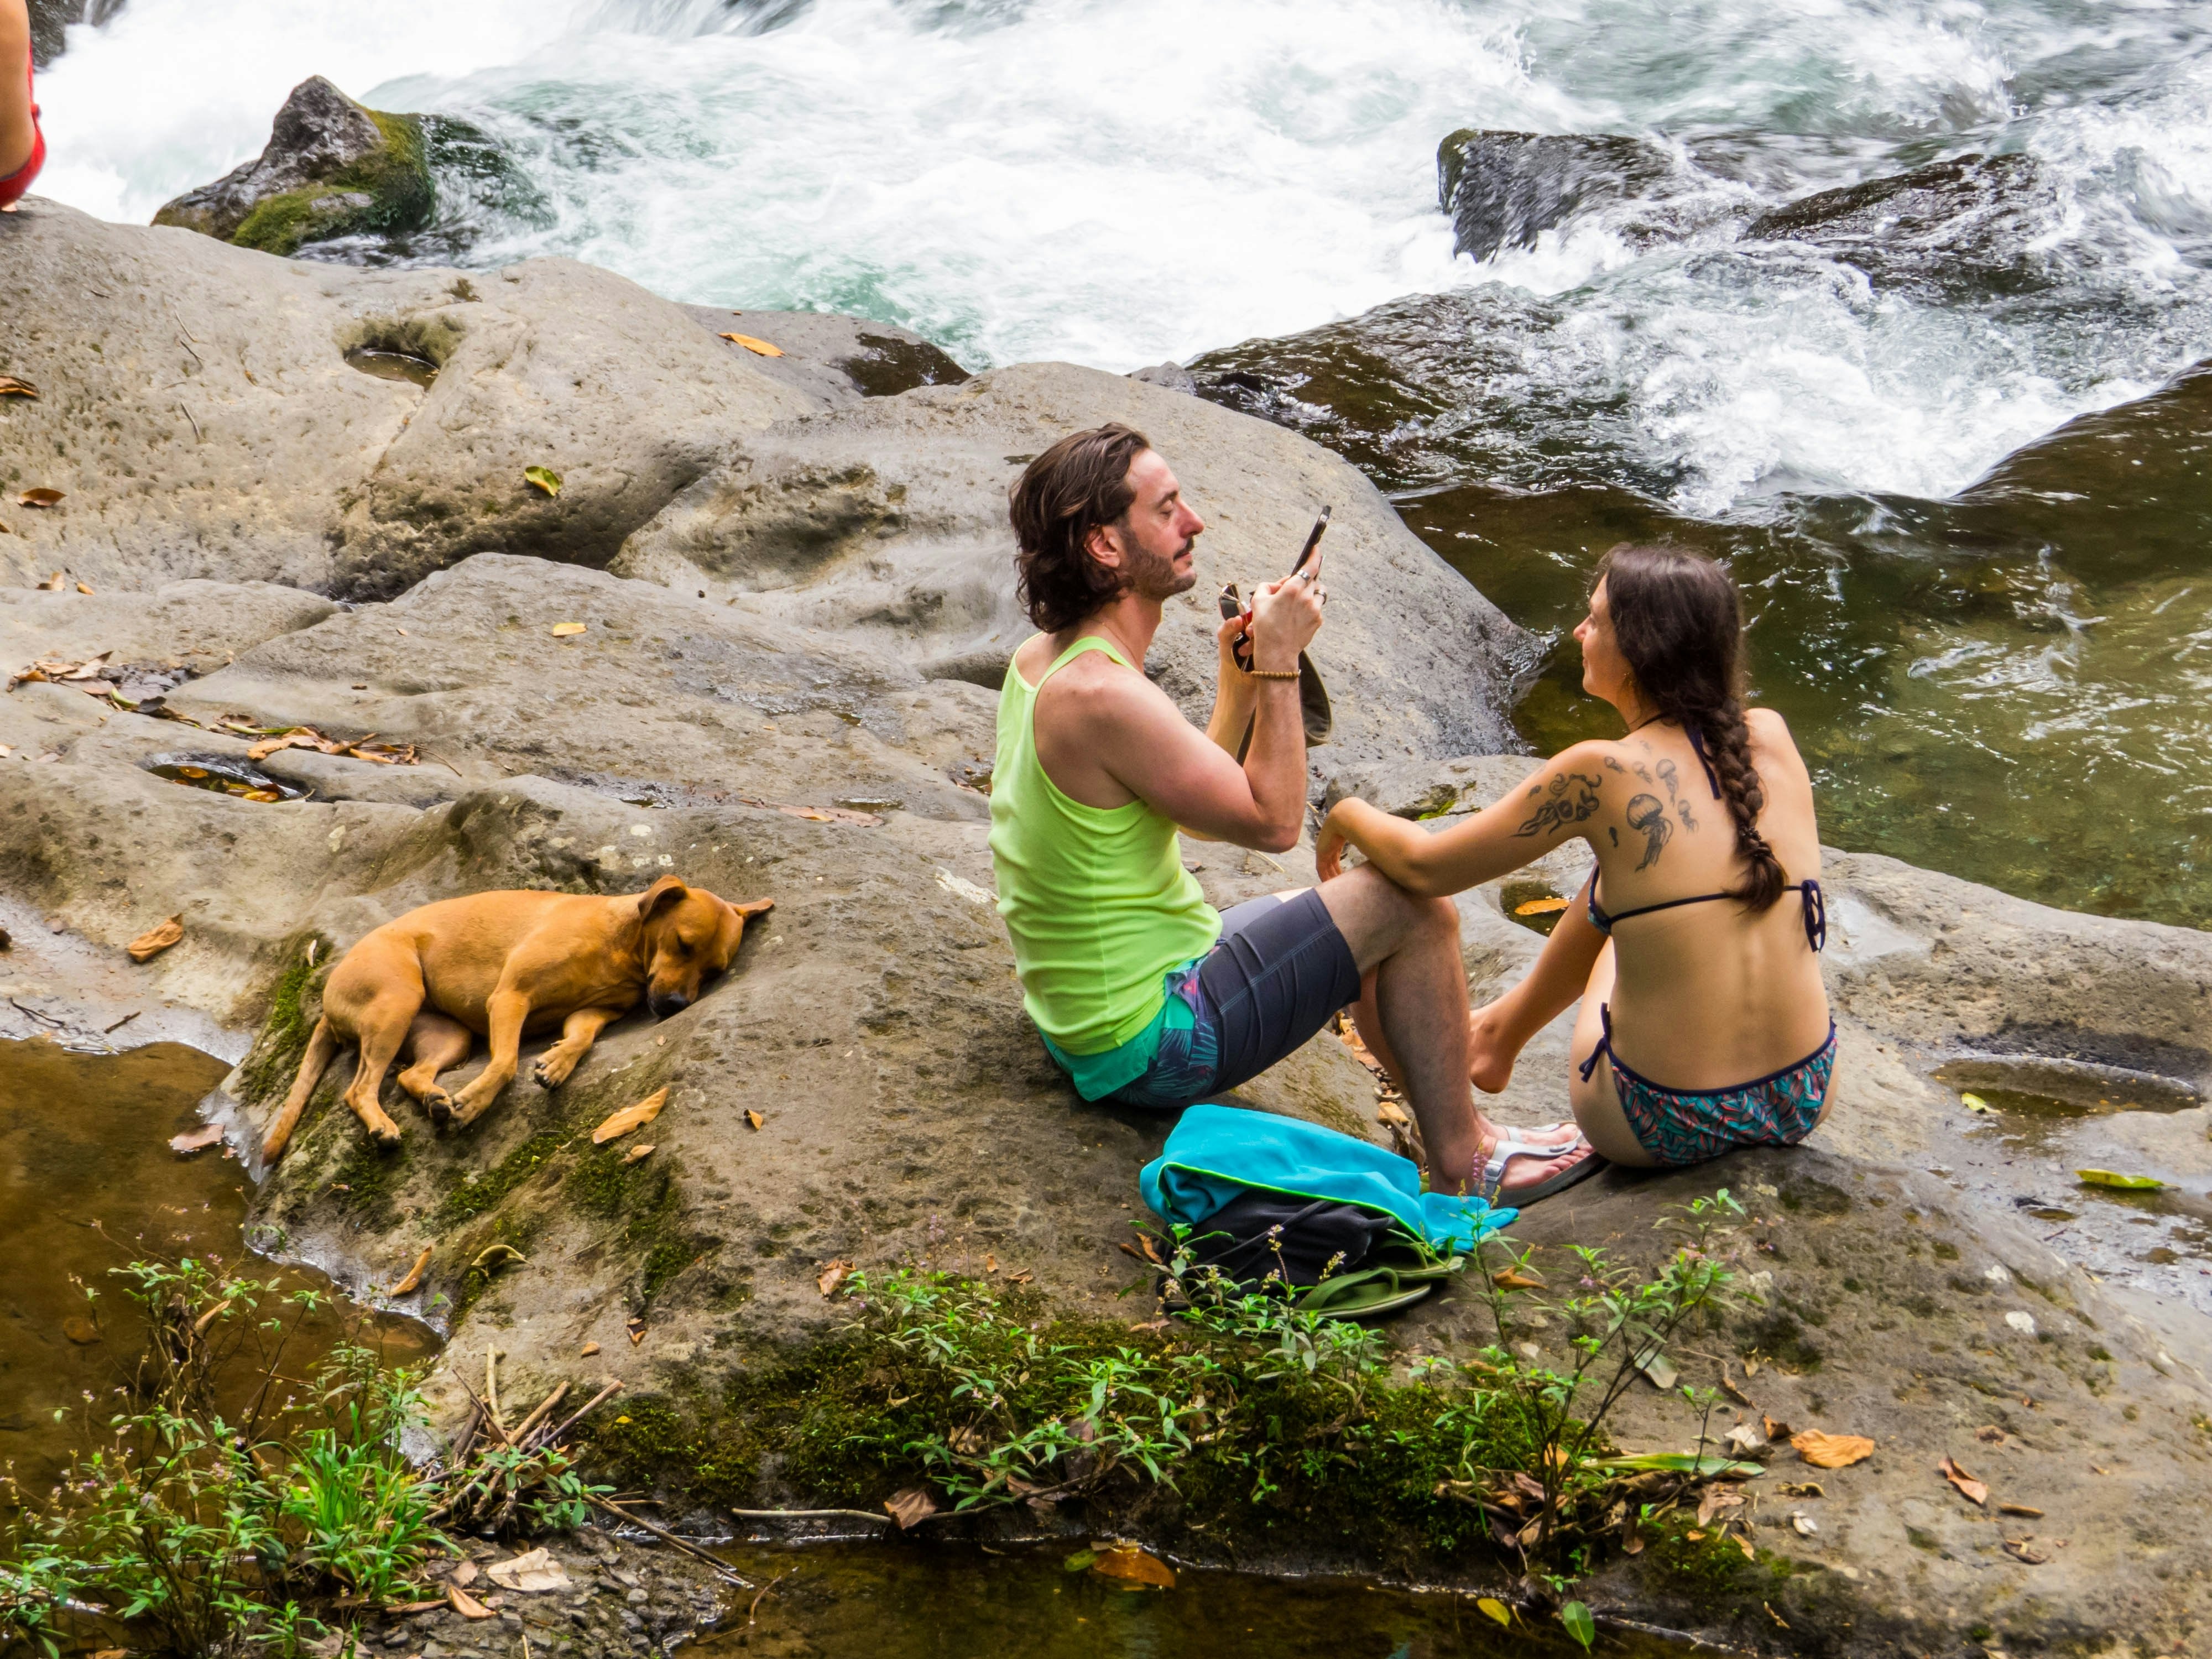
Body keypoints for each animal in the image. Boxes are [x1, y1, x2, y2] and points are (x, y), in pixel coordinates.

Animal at [267, 876, 774, 1159]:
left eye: (713, 972)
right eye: (683, 945)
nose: (673, 1007)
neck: (620, 946)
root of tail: (329, 999)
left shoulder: (591, 1013)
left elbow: (580, 1039)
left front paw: (558, 1063)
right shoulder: (511, 998)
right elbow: (506, 1063)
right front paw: (476, 1102)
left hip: (447, 1038)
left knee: (409, 1076)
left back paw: (434, 1098)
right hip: (396, 1001)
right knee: (360, 1088)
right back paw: (384, 1123)